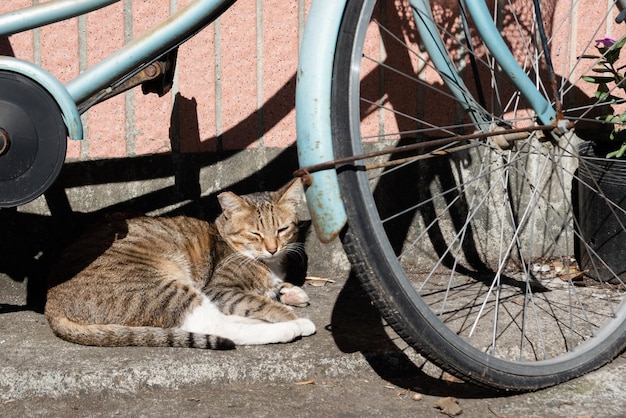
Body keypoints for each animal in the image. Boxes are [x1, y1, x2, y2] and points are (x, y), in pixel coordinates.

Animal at [44, 180, 314, 350]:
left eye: (282, 229)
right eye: (255, 234)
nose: (272, 248)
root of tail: (51, 301)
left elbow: (274, 289)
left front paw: (290, 291)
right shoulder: (219, 289)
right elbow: (260, 302)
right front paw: (289, 314)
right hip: (163, 289)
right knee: (220, 327)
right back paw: (290, 327)